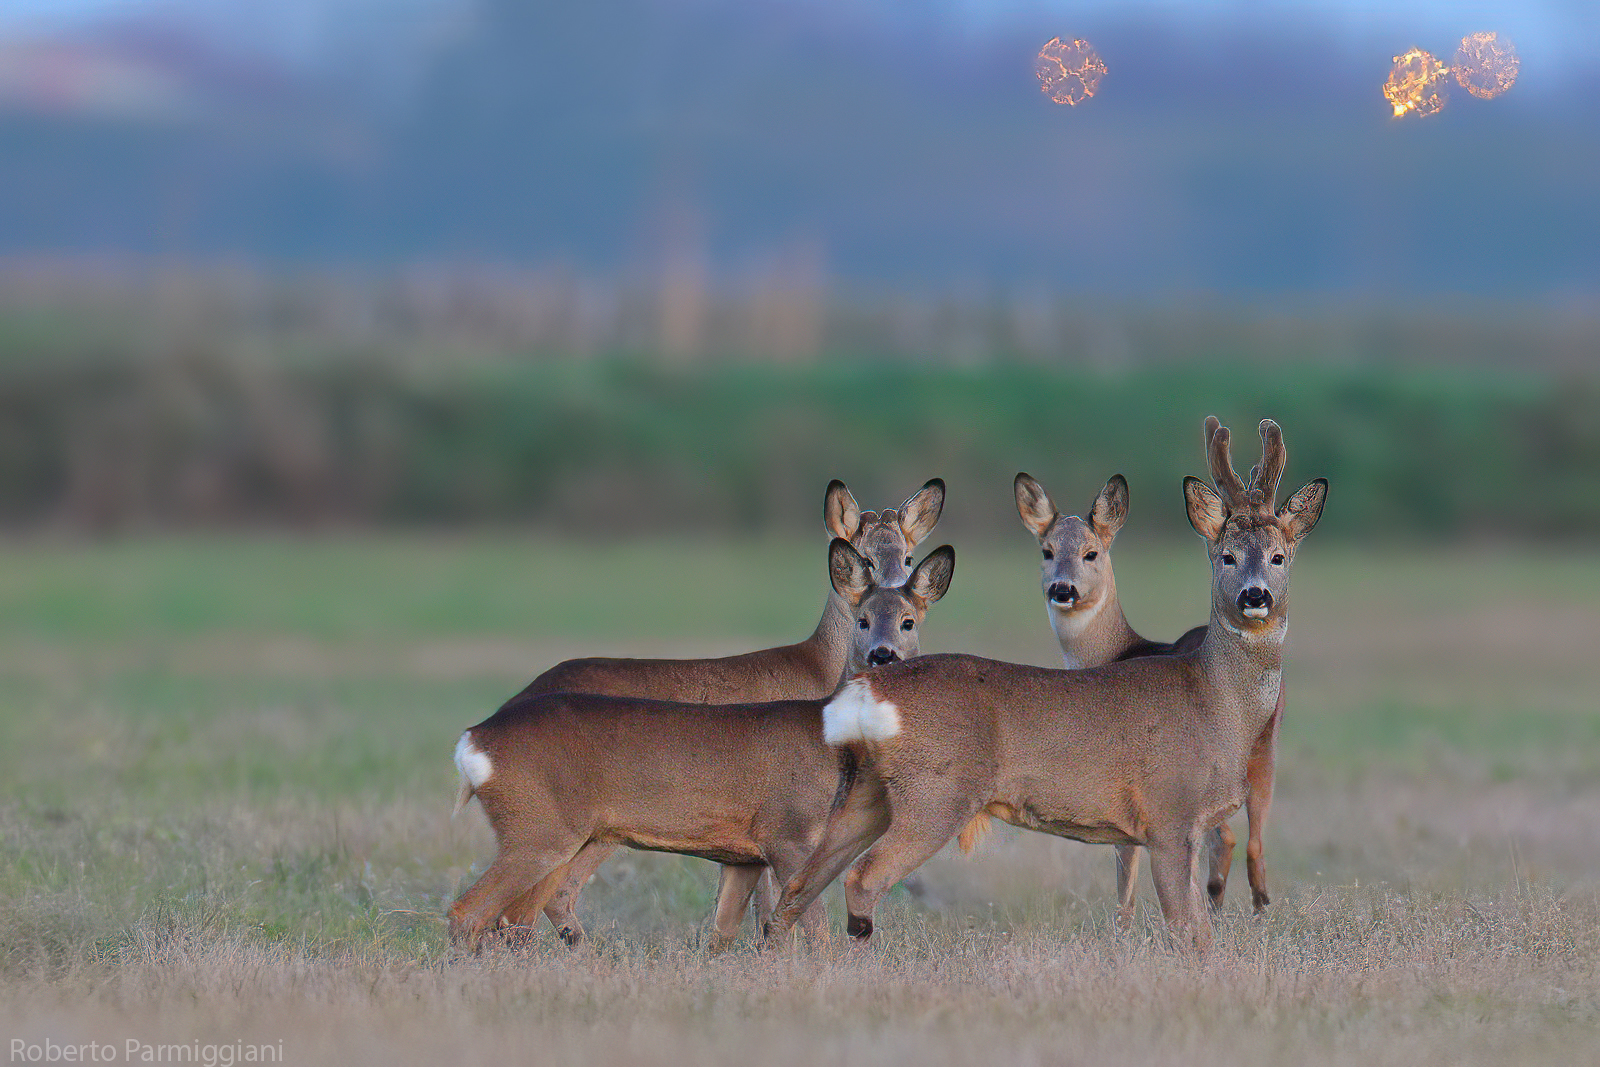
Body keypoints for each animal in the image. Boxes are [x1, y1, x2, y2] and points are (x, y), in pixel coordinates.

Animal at [489, 478, 945, 947]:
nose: (897, 594)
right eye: (866, 558)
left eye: (908, 556)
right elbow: (773, 903)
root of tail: (514, 702)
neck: (819, 669)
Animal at [1013, 471, 1284, 921]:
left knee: (1224, 837)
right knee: (1254, 836)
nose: (1062, 589)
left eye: (1091, 553)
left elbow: (1126, 868)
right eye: (1047, 551)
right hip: (1264, 747)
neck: (1113, 652)